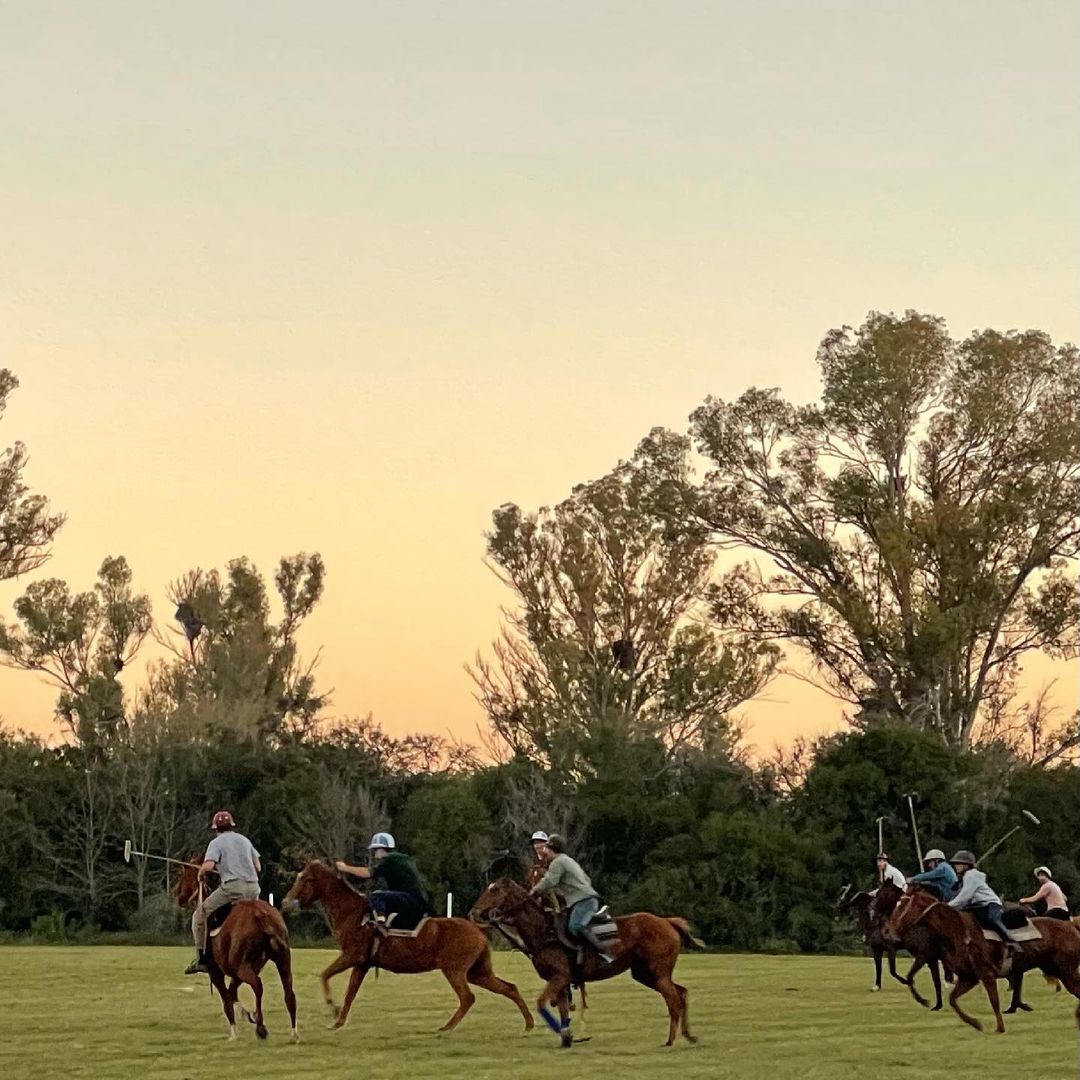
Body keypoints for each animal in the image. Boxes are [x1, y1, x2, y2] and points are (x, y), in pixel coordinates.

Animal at [174, 859, 298, 1036]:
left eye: (184, 875)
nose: (178, 896)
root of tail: (262, 916)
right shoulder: (238, 972)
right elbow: (232, 992)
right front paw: (247, 1014)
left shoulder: (215, 971)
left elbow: (226, 997)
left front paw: (234, 1030)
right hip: (282, 958)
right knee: (289, 991)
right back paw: (294, 1033)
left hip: (241, 966)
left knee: (258, 985)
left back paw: (261, 1027)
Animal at [278, 859, 531, 1028]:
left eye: (307, 879)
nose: (285, 902)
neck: (352, 913)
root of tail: (478, 930)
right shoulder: (362, 964)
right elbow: (350, 993)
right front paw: (338, 1020)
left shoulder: (351, 956)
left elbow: (325, 975)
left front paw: (332, 1007)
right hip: (477, 972)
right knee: (509, 987)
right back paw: (528, 1024)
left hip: (455, 970)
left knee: (468, 998)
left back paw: (446, 1028)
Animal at [466, 876, 699, 1045]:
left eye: (495, 890)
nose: (473, 912)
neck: (544, 931)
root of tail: (668, 922)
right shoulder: (559, 981)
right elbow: (561, 1008)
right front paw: (567, 1038)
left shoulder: (560, 977)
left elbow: (542, 1003)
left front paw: (565, 1034)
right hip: (645, 974)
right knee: (681, 992)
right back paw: (688, 1035)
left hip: (657, 972)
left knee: (673, 1000)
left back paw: (670, 1040)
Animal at [885, 889, 1080, 1032]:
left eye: (903, 905)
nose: (890, 930)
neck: (958, 932)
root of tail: (1071, 926)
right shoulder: (968, 978)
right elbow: (952, 999)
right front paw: (975, 1023)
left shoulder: (986, 974)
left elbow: (993, 1000)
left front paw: (1000, 1028)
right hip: (1057, 970)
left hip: (1067, 972)